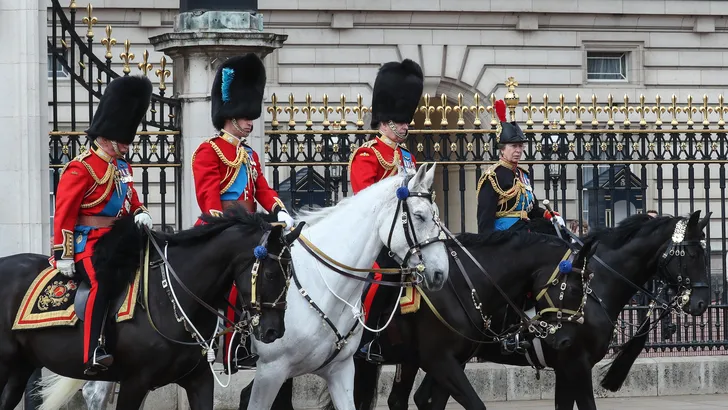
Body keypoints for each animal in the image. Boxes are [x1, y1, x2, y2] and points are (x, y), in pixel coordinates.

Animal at [0, 207, 302, 410]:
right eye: (271, 274)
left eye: (291, 275)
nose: (274, 331)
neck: (170, 298)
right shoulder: (134, 382)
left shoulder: (199, 380)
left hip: (20, 367)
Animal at [41, 163, 450, 410]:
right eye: (418, 216)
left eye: (437, 215)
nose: (440, 273)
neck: (324, 286)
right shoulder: (271, 370)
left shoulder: (340, 370)